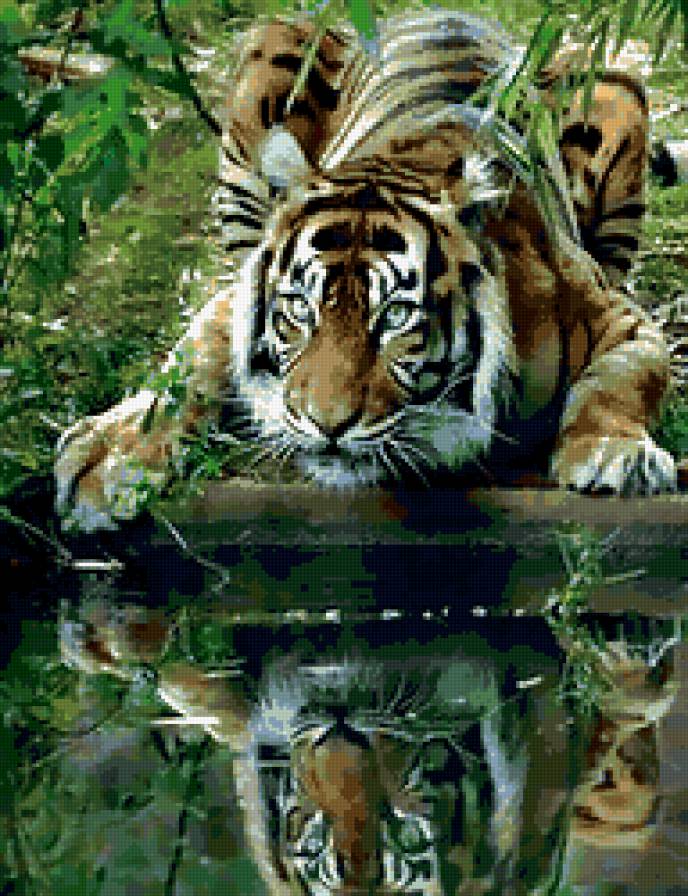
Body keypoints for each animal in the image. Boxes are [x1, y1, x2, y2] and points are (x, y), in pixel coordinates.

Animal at [54, 9, 677, 532]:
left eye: (397, 316)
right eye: (298, 309)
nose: (326, 425)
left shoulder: (620, 315)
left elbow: (625, 378)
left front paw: (616, 454)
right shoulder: (238, 295)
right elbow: (186, 365)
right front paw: (109, 457)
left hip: (611, 74)